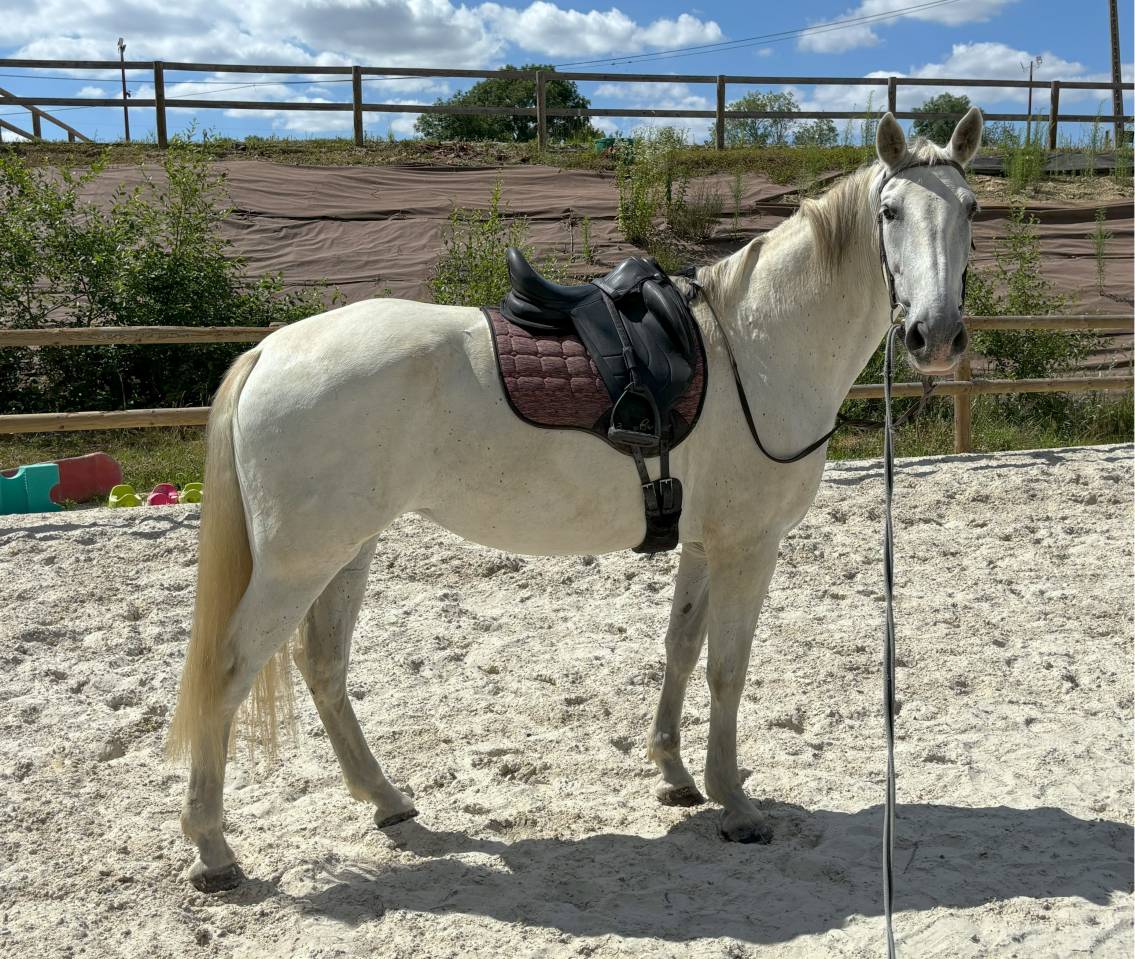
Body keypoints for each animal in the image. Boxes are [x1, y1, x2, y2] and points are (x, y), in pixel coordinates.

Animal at [169, 109, 983, 892]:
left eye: (970, 208)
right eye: (889, 212)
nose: (935, 336)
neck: (755, 345)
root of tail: (271, 349)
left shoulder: (701, 543)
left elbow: (681, 648)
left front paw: (674, 774)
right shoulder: (747, 546)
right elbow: (728, 667)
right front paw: (735, 804)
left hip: (346, 550)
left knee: (324, 665)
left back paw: (386, 799)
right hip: (299, 564)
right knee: (229, 672)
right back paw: (213, 850)